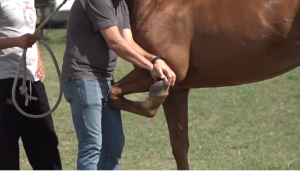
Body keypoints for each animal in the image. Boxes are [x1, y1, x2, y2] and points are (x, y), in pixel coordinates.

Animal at [108, 0, 300, 168]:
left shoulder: (166, 71)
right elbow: (179, 146)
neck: (156, 4)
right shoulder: (177, 90)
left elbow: (114, 93)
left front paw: (153, 98)